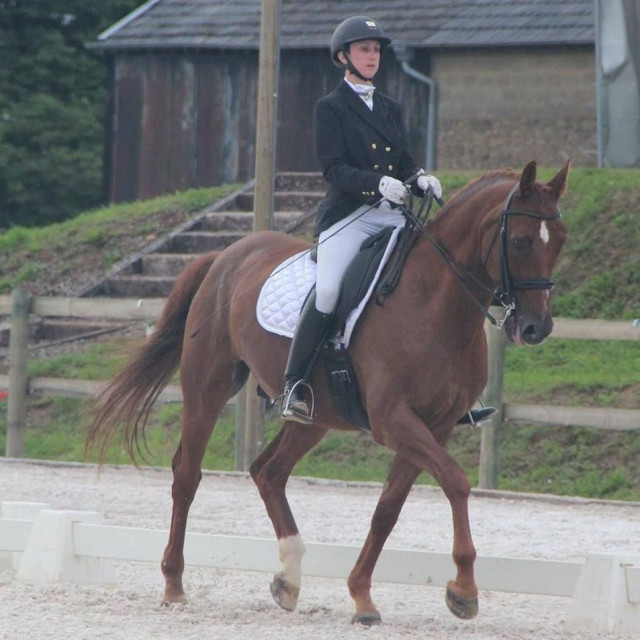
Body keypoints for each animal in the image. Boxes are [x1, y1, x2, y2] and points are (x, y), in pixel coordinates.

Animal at [86, 159, 569, 625]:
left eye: (559, 241)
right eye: (521, 241)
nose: (536, 328)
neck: (434, 302)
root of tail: (226, 254)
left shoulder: (437, 426)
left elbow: (388, 508)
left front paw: (362, 595)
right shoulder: (395, 421)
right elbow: (455, 481)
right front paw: (464, 590)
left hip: (314, 416)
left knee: (268, 471)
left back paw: (288, 579)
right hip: (208, 388)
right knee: (187, 474)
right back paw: (174, 585)